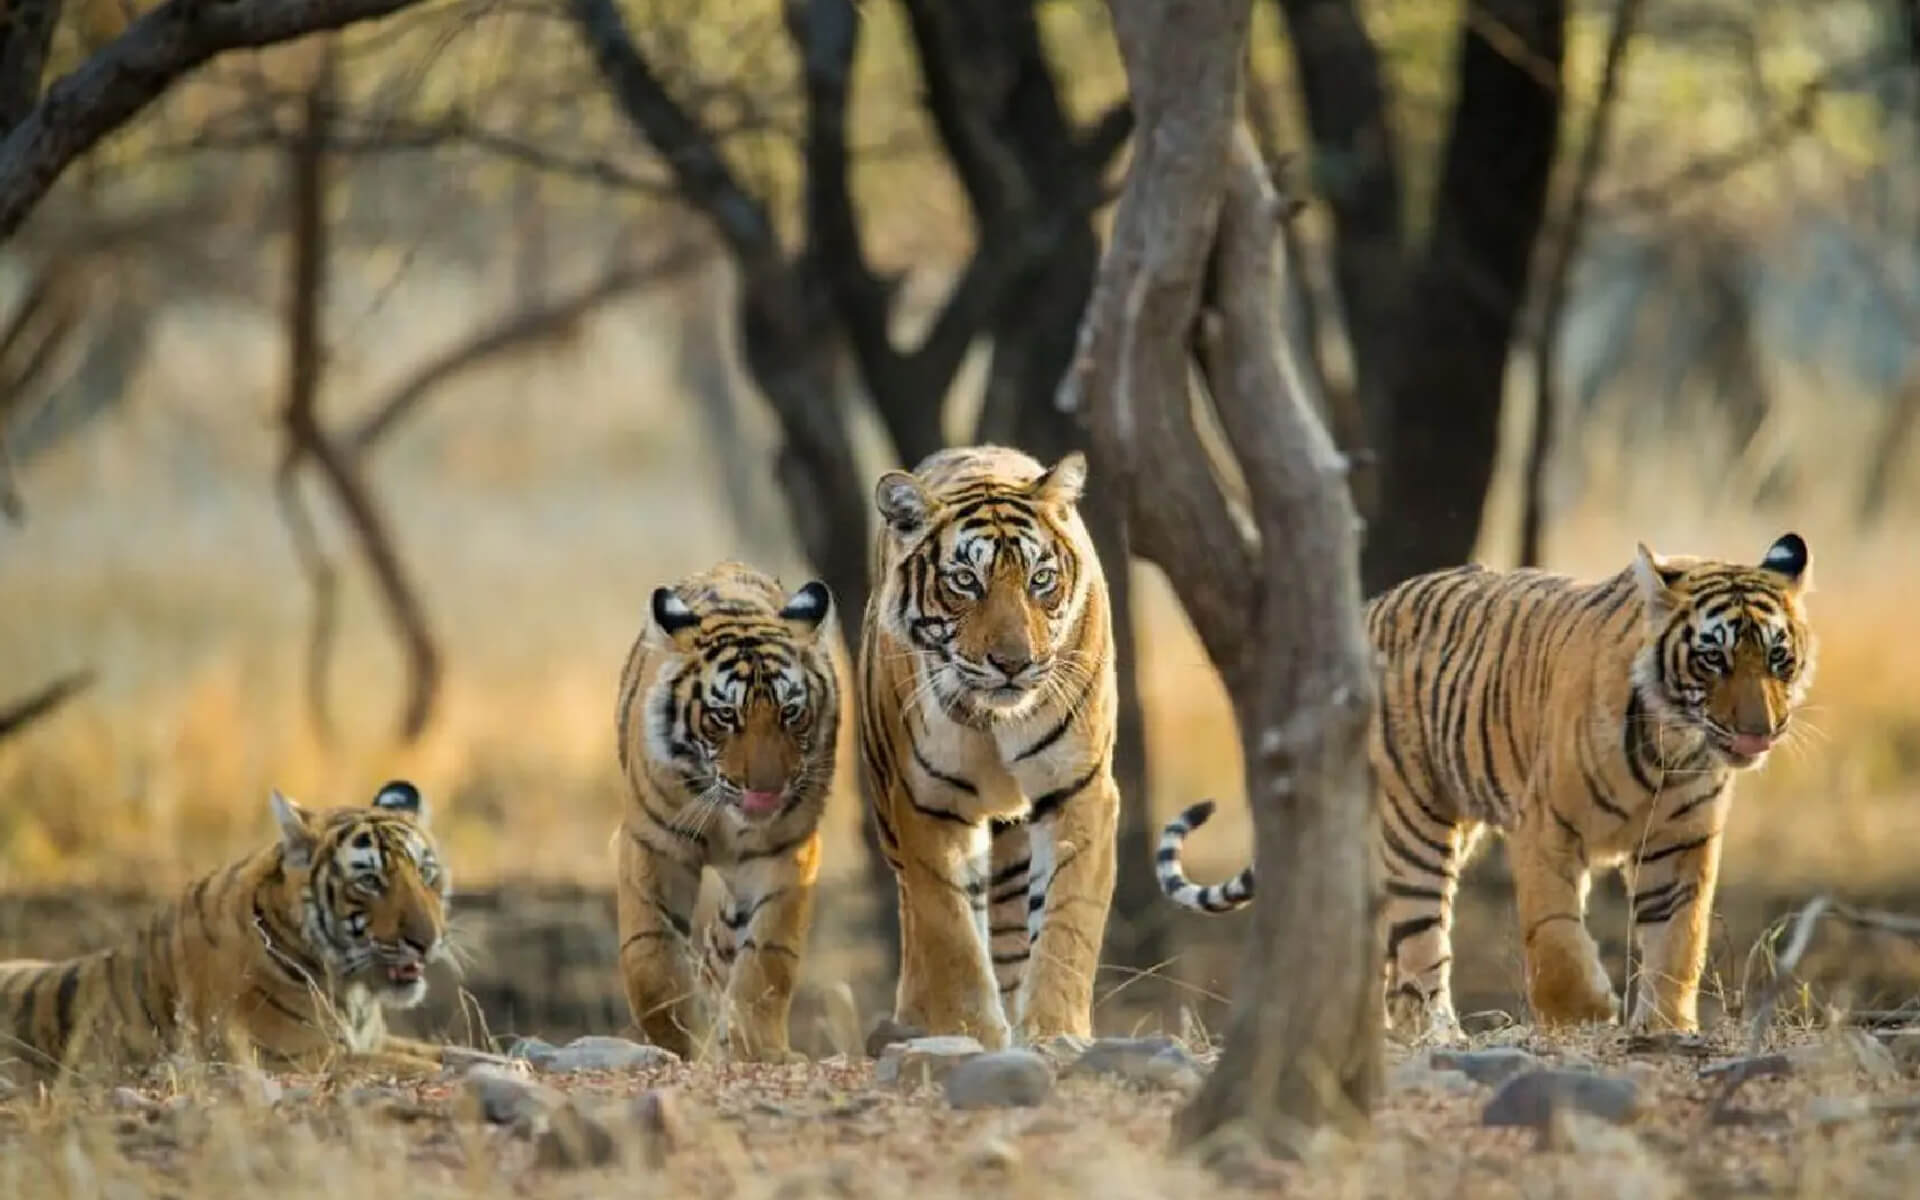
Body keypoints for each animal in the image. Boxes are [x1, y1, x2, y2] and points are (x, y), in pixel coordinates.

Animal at [0, 783, 453, 1082]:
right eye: (370, 881)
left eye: (426, 873)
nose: (428, 941)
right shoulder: (296, 1057)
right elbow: (424, 1067)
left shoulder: (372, 1041)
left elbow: (450, 1052)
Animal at [606, 556, 833, 1059]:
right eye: (725, 716)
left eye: (791, 712)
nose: (766, 791)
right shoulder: (653, 845)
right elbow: (651, 959)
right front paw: (681, 1044)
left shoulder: (785, 853)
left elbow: (767, 957)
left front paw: (758, 1048)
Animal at [860, 445, 1121, 1044]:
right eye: (964, 581)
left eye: (1040, 579)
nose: (1013, 663)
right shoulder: (929, 804)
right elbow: (949, 931)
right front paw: (969, 1032)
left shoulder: (1078, 789)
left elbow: (1067, 924)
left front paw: (1054, 1032)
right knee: (917, 916)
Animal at [1152, 533, 1812, 1036]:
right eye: (1713, 659)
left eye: (1778, 658)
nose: (1760, 731)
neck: (1672, 746)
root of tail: (1366, 608)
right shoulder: (1546, 828)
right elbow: (1554, 935)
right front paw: (1584, 1014)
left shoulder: (1681, 843)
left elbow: (1679, 938)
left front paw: (1667, 1026)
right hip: (1413, 824)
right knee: (1420, 941)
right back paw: (1437, 1033)